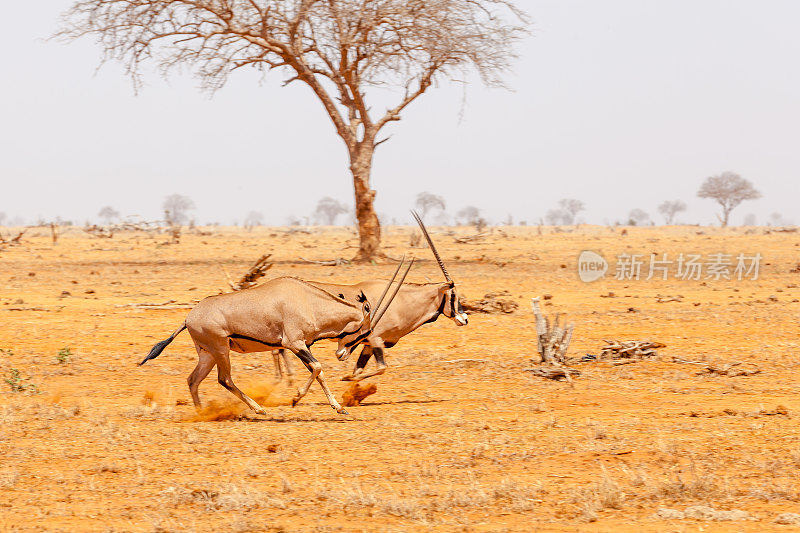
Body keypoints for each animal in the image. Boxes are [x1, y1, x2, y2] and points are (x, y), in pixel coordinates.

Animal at [139, 260, 412, 414]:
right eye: (365, 330)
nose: (341, 354)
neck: (309, 301)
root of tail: (189, 318)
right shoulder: (294, 344)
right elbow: (318, 368)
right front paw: (298, 399)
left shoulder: (302, 345)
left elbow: (317, 371)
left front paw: (335, 407)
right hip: (221, 350)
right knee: (224, 379)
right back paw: (257, 409)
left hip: (207, 354)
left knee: (193, 380)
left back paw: (201, 413)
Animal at [272, 211, 468, 382]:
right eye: (453, 294)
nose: (464, 318)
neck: (401, 301)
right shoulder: (375, 340)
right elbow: (380, 368)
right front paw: (347, 380)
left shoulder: (367, 344)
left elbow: (359, 369)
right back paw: (283, 379)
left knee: (279, 349)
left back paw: (286, 378)